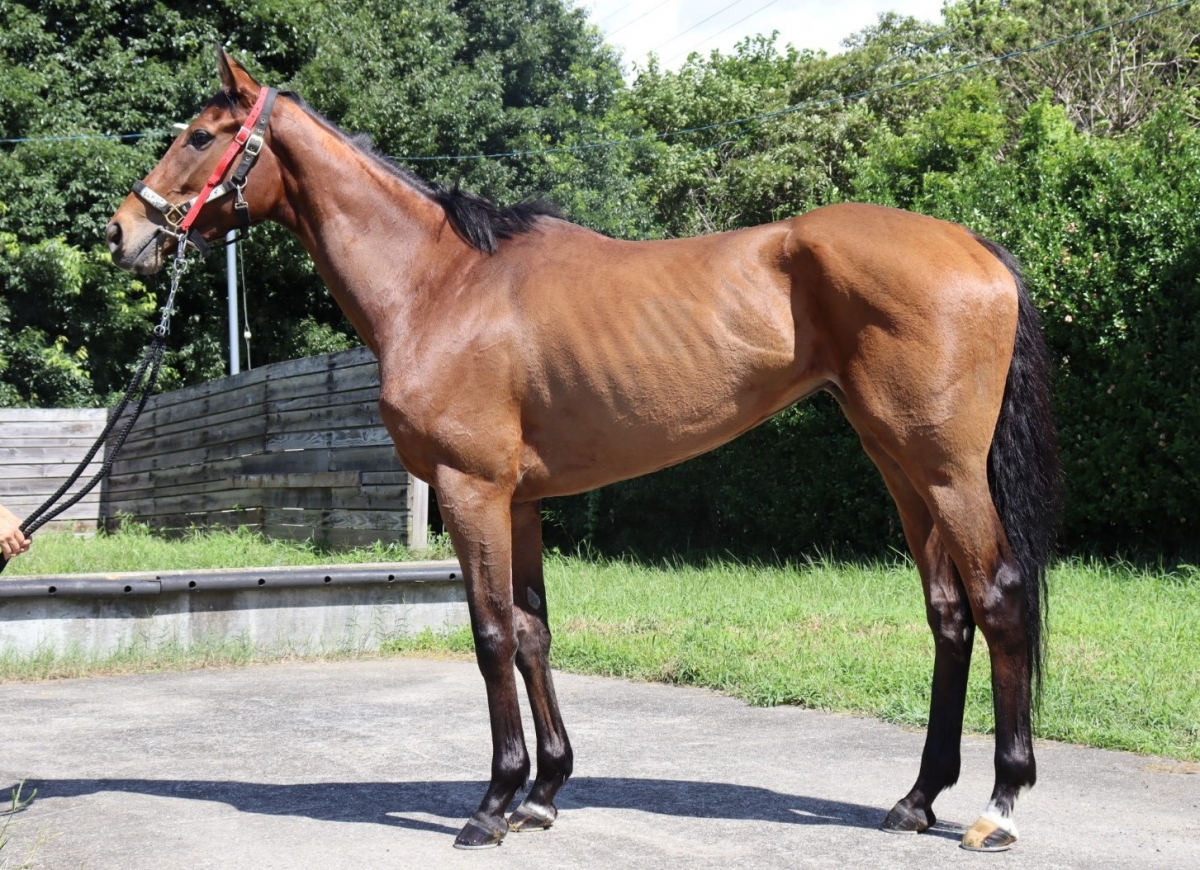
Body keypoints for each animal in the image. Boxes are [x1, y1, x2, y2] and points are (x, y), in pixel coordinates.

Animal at [106, 49, 1059, 853]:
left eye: (200, 135)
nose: (123, 233)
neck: (439, 283)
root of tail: (974, 246)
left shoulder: (470, 490)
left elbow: (491, 633)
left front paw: (492, 804)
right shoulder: (521, 501)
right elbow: (534, 632)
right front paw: (543, 794)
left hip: (945, 470)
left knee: (1001, 598)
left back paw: (1000, 805)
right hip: (901, 466)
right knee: (949, 613)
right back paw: (917, 798)